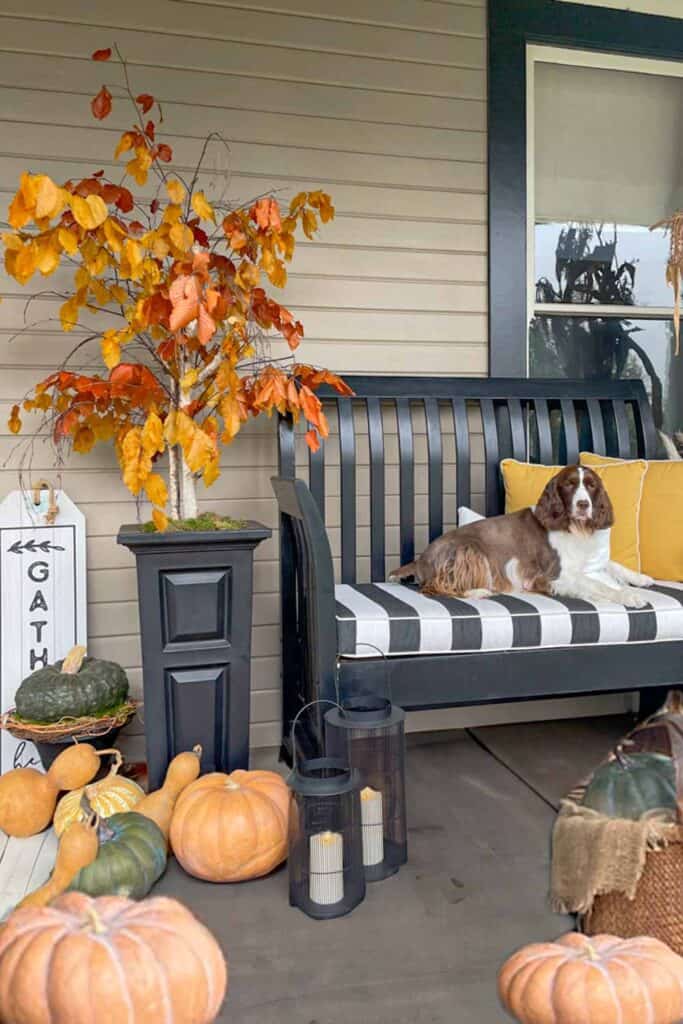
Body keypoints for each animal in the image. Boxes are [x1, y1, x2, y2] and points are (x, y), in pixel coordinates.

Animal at [389, 466, 651, 606]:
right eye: (569, 485)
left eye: (591, 485)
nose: (583, 505)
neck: (576, 529)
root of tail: (421, 559)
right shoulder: (552, 575)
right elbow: (594, 584)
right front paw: (630, 596)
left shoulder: (592, 562)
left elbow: (613, 565)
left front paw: (641, 579)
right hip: (469, 550)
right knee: (433, 587)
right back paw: (479, 591)